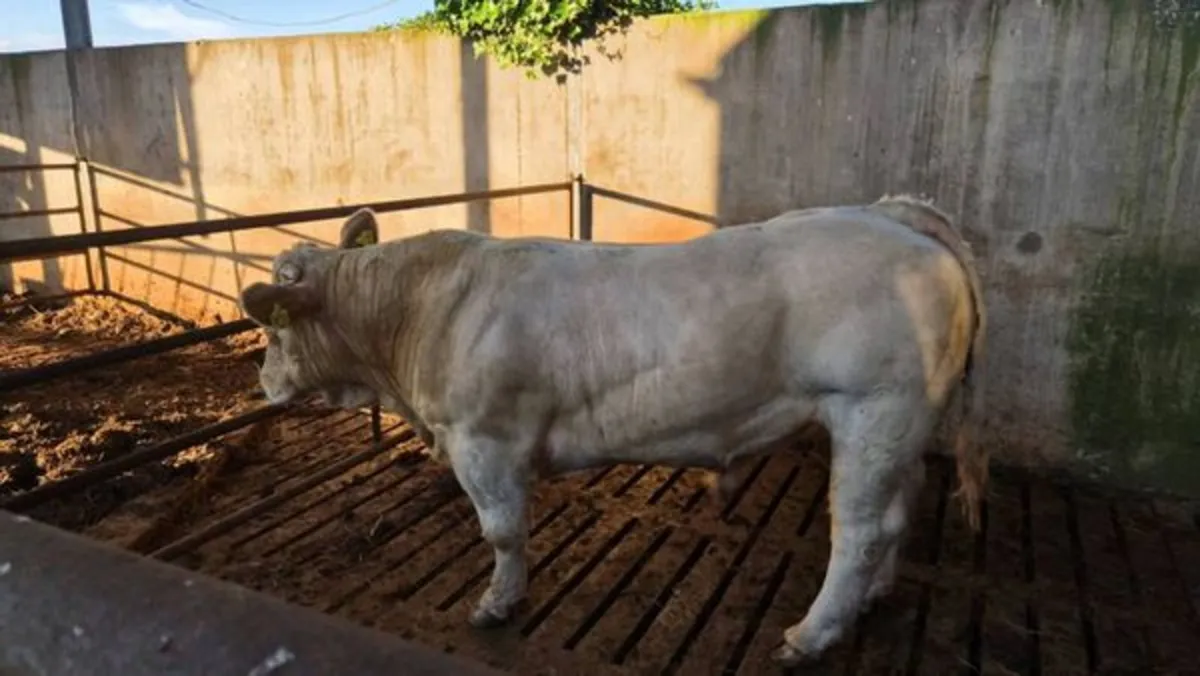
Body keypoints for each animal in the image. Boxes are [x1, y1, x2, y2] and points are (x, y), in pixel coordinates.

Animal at [237, 195, 987, 666]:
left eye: (273, 326)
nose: (262, 383)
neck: (422, 311)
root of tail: (890, 212)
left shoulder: (484, 442)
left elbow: (502, 533)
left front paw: (497, 604)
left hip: (871, 409)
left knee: (857, 533)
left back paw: (810, 635)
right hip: (901, 423)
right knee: (896, 514)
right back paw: (875, 597)